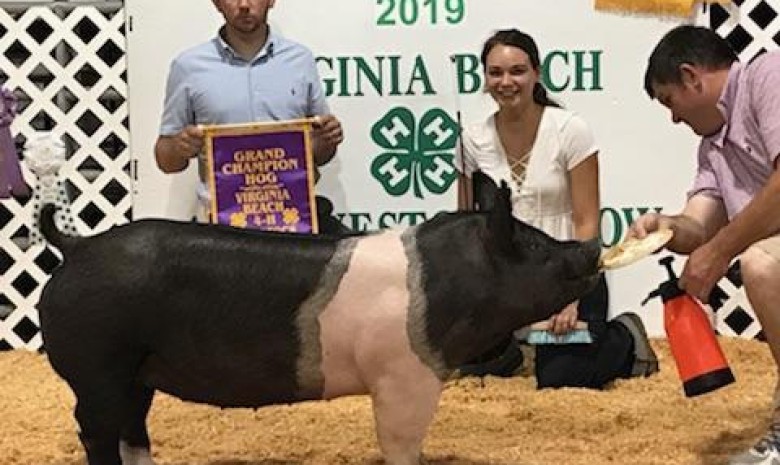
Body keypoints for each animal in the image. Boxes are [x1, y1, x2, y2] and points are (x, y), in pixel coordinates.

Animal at [36, 175, 600, 464]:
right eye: (536, 248)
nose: (590, 247)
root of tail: (78, 247)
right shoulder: (403, 374)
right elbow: (401, 442)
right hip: (99, 363)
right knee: (94, 429)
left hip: (138, 371)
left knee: (131, 426)